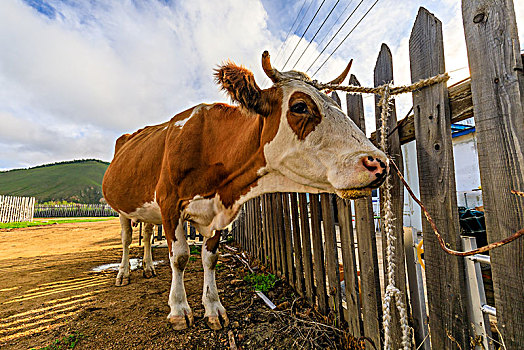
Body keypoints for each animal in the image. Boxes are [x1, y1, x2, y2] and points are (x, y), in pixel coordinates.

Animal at [103, 50, 388, 330]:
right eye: (299, 106)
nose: (379, 163)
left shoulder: (218, 210)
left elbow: (210, 257)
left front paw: (213, 308)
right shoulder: (169, 203)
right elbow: (180, 257)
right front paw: (179, 310)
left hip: (148, 210)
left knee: (147, 234)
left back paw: (148, 267)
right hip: (123, 209)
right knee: (127, 238)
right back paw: (124, 273)